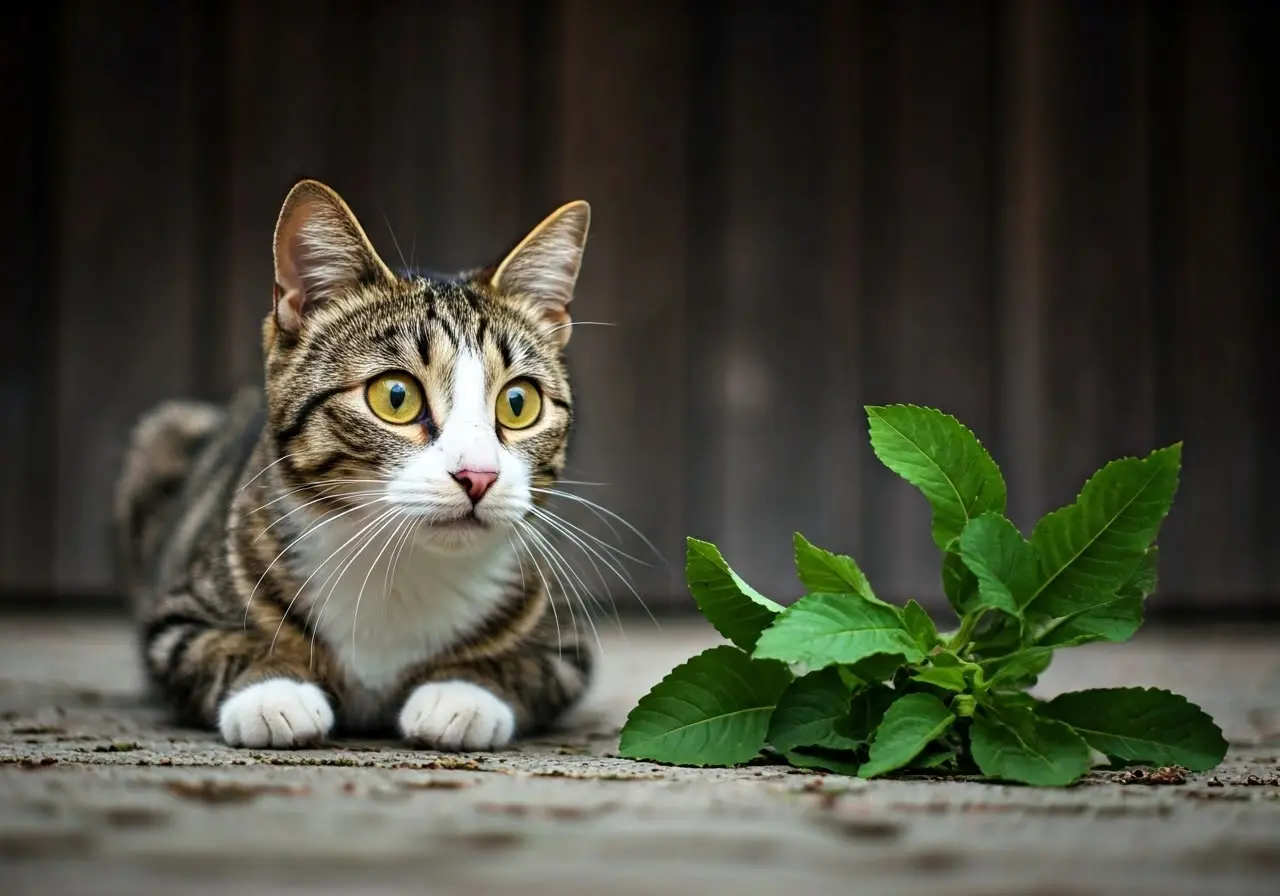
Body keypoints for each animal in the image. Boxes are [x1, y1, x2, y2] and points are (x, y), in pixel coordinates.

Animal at [113, 176, 593, 747]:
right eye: (395, 396)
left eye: (518, 403)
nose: (478, 475)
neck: (397, 569)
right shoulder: (174, 622)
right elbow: (217, 647)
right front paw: (273, 691)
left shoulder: (566, 644)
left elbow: (524, 665)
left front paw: (461, 693)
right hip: (164, 433)